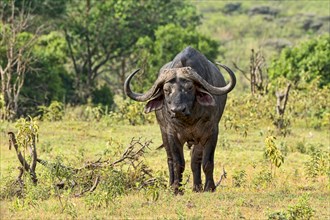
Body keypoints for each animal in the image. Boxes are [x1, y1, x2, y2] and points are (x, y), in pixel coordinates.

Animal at [125, 46, 236, 192]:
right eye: (166, 90)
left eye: (189, 87)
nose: (177, 110)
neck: (189, 119)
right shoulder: (172, 134)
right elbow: (178, 163)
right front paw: (177, 189)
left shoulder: (210, 133)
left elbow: (206, 162)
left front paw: (209, 187)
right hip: (164, 133)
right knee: (170, 160)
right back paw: (171, 184)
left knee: (195, 160)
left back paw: (197, 187)